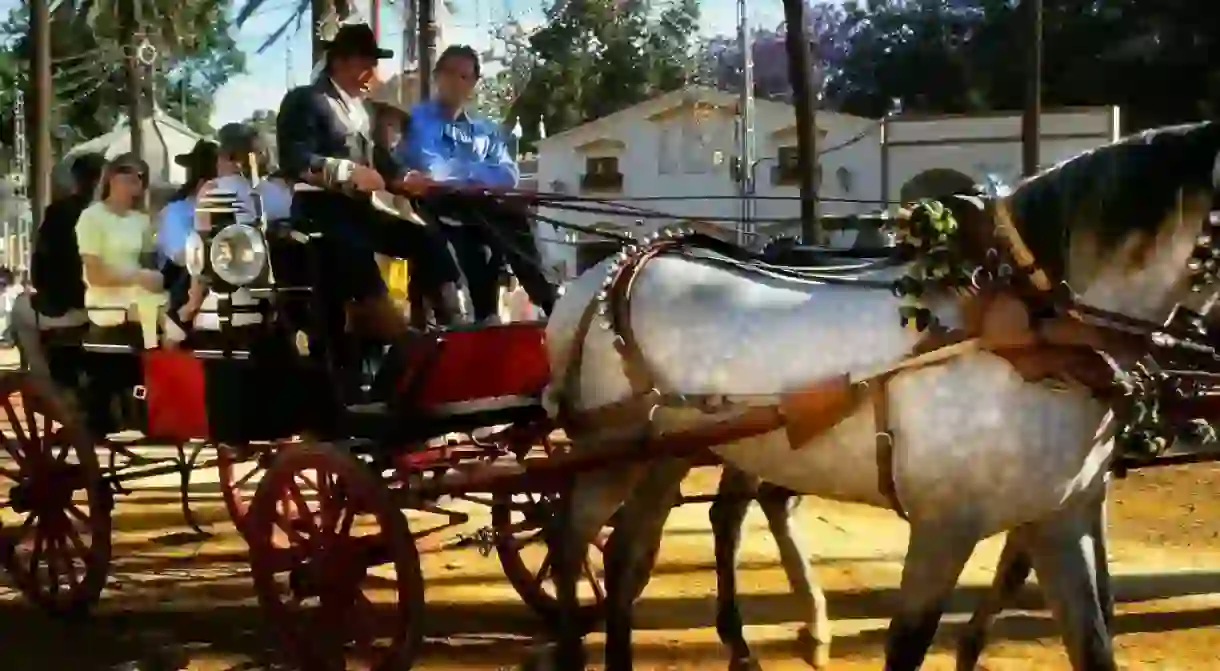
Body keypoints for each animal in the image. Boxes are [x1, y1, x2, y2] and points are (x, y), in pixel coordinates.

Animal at [539, 122, 1220, 671]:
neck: (1028, 326)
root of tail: (595, 279)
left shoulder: (1062, 517)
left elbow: (1093, 640)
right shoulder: (947, 524)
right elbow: (908, 645)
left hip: (668, 453)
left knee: (628, 557)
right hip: (611, 451)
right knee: (570, 544)